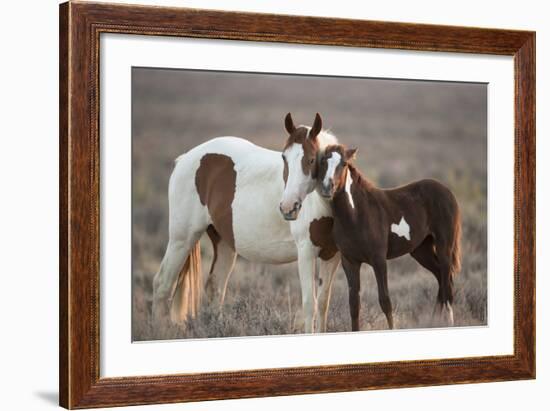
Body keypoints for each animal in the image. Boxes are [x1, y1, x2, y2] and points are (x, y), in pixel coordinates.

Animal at [320, 145, 466, 332]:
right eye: (323, 162)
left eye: (343, 163)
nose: (327, 187)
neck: (357, 214)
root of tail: (447, 191)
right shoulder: (350, 262)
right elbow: (354, 304)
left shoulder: (379, 260)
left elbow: (385, 301)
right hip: (421, 251)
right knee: (440, 276)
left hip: (444, 247)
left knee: (448, 284)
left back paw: (448, 322)